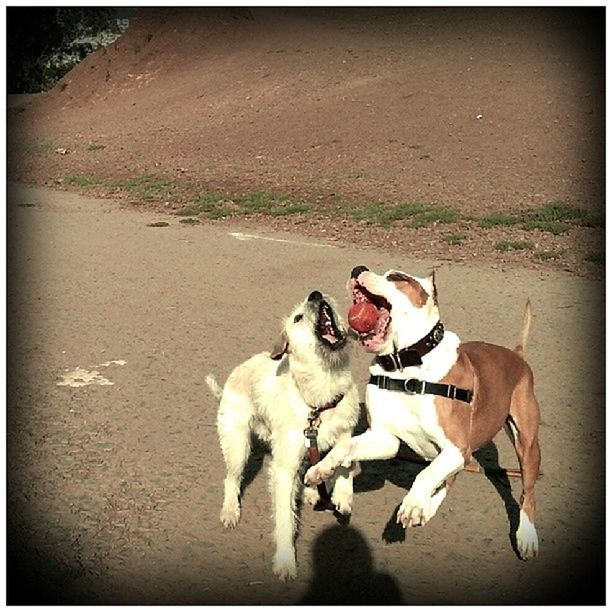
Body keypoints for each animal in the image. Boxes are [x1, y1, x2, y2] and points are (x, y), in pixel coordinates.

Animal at [207, 290, 358, 580]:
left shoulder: (346, 429)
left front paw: (342, 495)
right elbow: (285, 518)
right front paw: (286, 560)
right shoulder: (283, 468)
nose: (315, 294)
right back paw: (230, 509)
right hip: (237, 445)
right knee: (231, 479)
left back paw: (312, 489)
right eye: (297, 317)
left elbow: (345, 459)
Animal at [306, 266, 540, 560]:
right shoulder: (385, 439)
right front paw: (321, 468)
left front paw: (412, 504)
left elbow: (424, 475)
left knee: (526, 493)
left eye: (397, 277)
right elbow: (345, 447)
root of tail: (517, 355)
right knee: (453, 476)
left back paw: (526, 536)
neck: (405, 369)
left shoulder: (456, 447)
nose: (358, 269)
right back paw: (427, 508)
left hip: (526, 446)